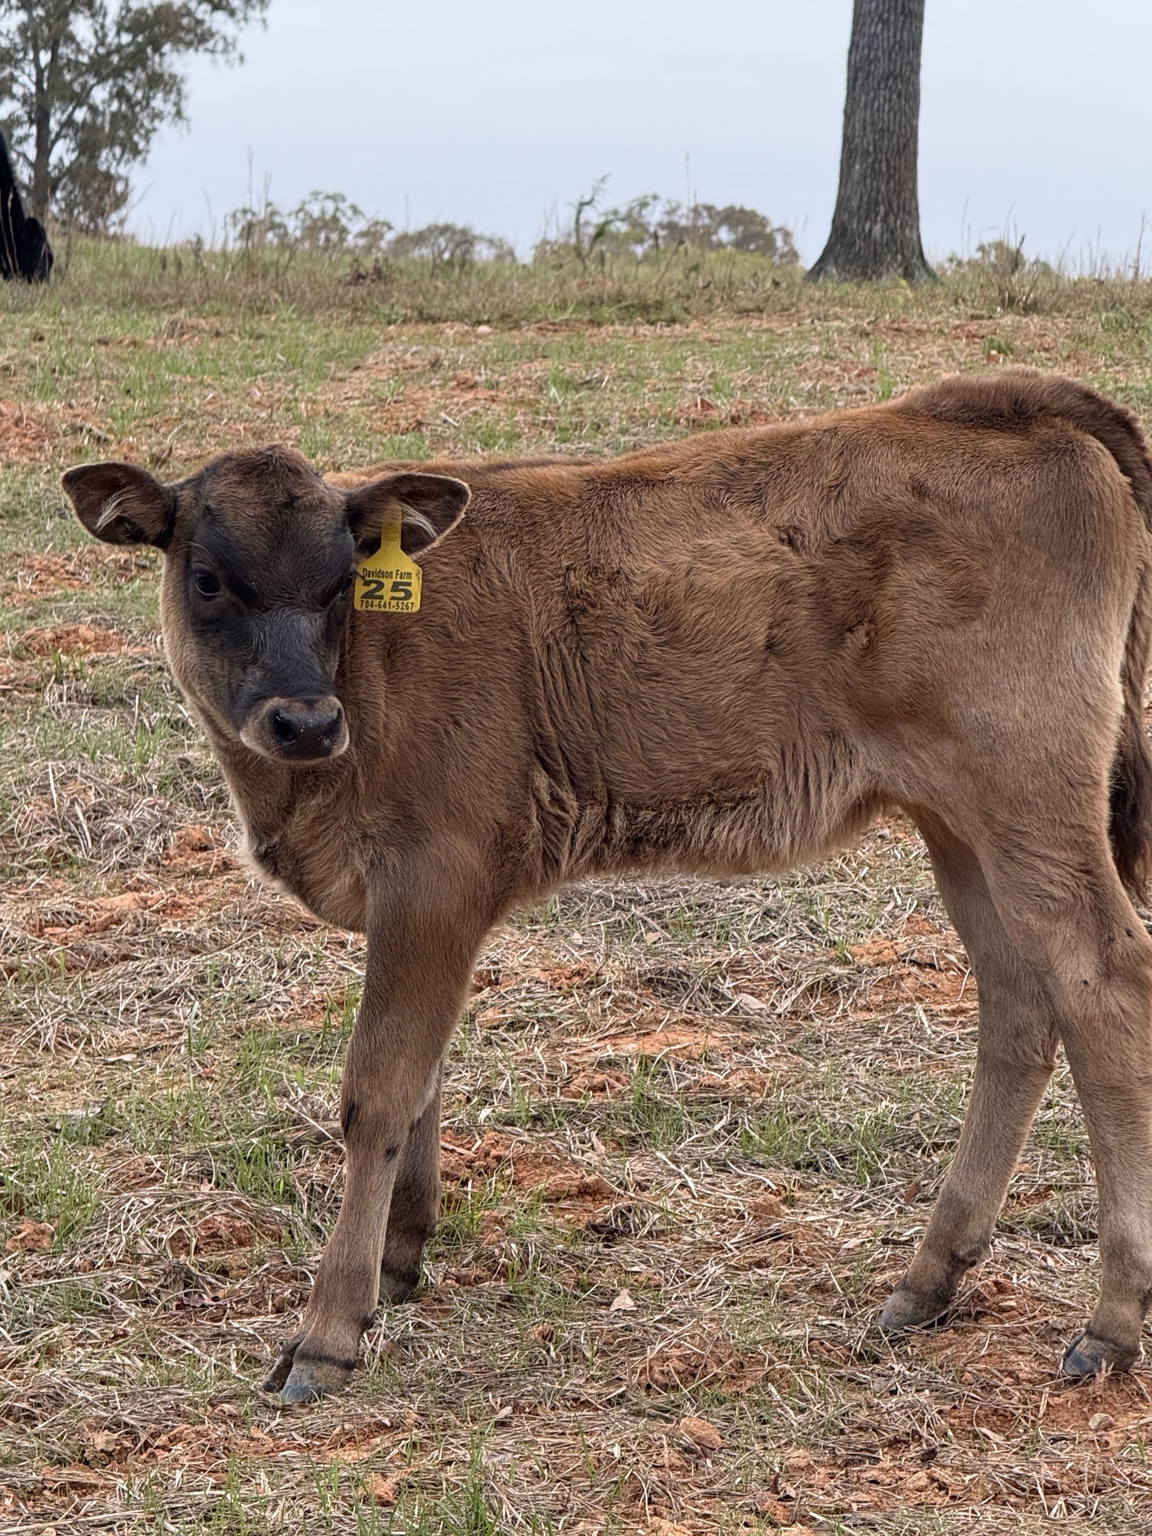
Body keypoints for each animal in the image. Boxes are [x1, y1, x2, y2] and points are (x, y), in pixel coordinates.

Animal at [63, 369, 1152, 1402]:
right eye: (208, 578)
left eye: (341, 584)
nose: (303, 720)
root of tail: (997, 404)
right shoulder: (416, 911)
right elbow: (423, 1079)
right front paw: (402, 1258)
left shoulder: (433, 881)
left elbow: (378, 1092)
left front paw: (328, 1332)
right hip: (959, 820)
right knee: (1019, 1007)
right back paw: (930, 1280)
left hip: (1030, 795)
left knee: (1104, 988)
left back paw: (1109, 1323)